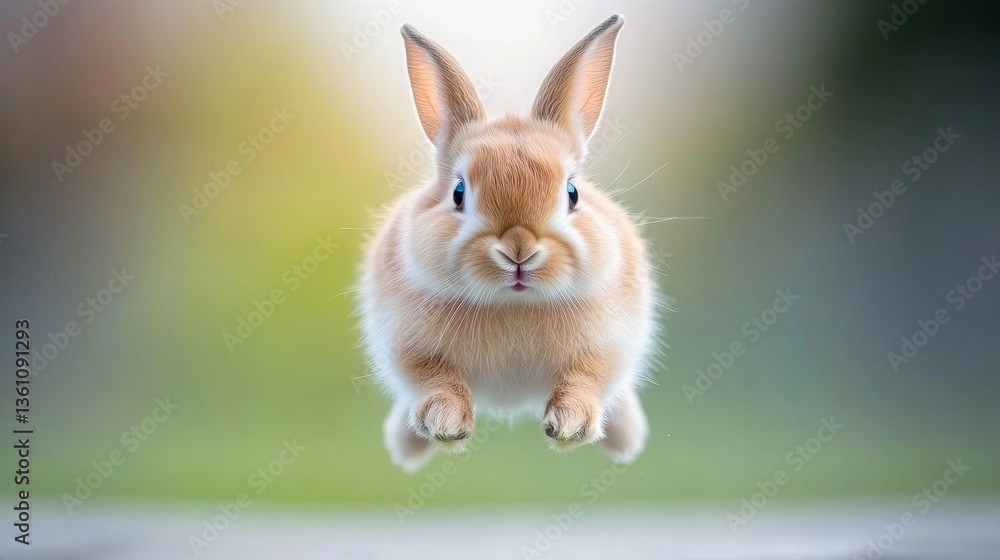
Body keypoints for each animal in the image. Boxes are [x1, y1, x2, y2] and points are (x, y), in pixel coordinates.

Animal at [358, 14, 658, 472]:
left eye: (572, 193)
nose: (519, 251)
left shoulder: (609, 345)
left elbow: (585, 378)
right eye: (458, 193)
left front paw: (568, 425)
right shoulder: (407, 345)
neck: (512, 304)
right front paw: (445, 423)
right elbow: (435, 378)